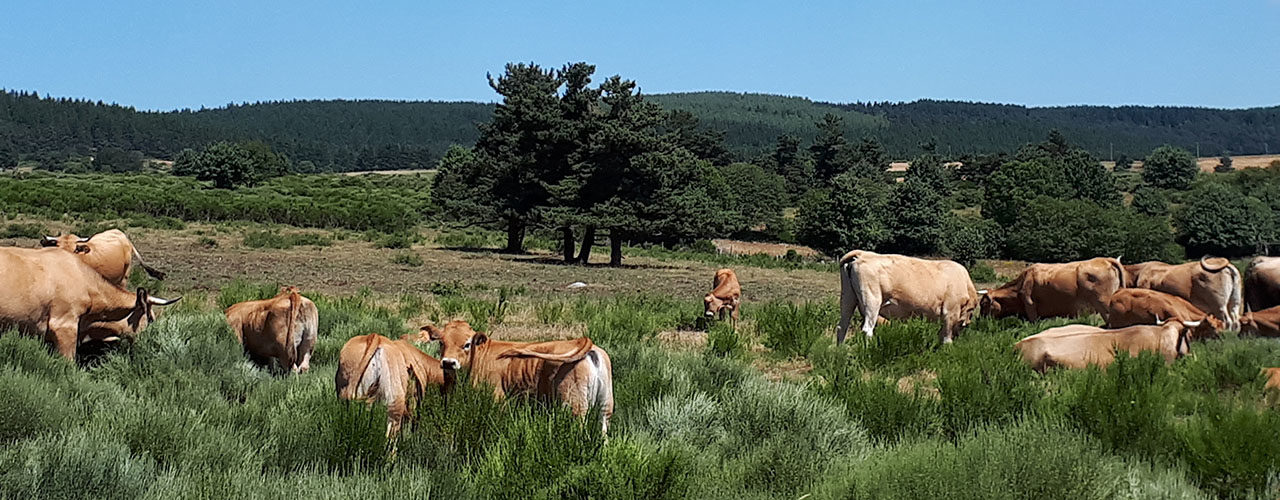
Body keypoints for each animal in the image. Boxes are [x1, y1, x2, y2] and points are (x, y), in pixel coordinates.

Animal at [419, 320, 614, 434]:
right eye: (441, 342)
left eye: (467, 344)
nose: (448, 362)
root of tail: (589, 345)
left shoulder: (497, 398)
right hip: (605, 405)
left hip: (574, 405)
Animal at [834, 250, 972, 345]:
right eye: (964, 326)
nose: (958, 335)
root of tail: (862, 254)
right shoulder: (951, 310)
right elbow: (947, 335)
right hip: (872, 300)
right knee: (867, 329)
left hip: (848, 298)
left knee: (842, 327)